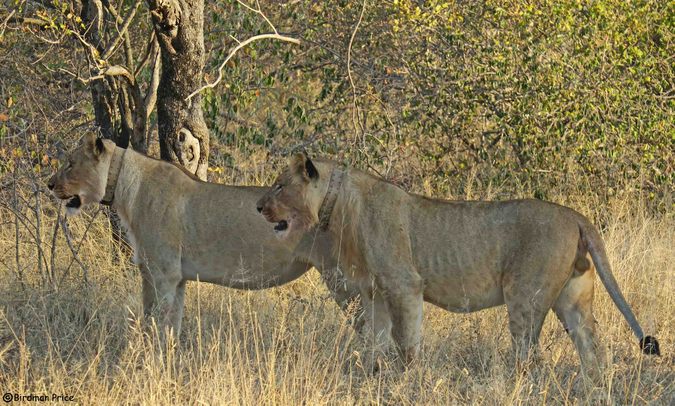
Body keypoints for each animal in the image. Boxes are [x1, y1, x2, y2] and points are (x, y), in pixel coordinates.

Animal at [48, 135, 362, 338]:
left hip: (344, 280)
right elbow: (170, 326)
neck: (125, 187)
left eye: (70, 163)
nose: (49, 184)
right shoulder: (174, 277)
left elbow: (154, 323)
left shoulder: (162, 274)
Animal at [258, 153, 660, 380]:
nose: (259, 207)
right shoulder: (374, 293)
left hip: (524, 296)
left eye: (278, 186)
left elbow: (406, 340)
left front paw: (407, 380)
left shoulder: (403, 284)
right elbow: (375, 339)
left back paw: (515, 384)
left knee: (530, 355)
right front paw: (372, 375)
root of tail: (575, 215)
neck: (338, 205)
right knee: (593, 350)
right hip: (573, 297)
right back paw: (593, 388)